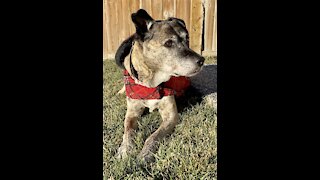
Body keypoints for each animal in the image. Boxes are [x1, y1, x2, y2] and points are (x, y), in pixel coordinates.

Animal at [114, 9, 205, 162]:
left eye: (187, 39)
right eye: (168, 43)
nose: (202, 60)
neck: (151, 82)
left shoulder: (171, 116)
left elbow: (153, 137)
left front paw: (144, 155)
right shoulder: (132, 112)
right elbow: (128, 130)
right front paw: (125, 149)